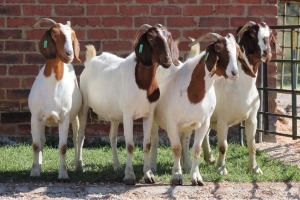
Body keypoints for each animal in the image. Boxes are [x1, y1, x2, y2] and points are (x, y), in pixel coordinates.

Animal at [28, 17, 81, 180]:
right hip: (42, 122)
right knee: (42, 141)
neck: (53, 84)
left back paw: (78, 165)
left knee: (77, 138)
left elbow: (63, 147)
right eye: (55, 34)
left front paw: (63, 174)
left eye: (73, 35)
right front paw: (34, 171)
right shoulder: (35, 117)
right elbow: (36, 145)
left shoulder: (64, 118)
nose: (69, 54)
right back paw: (39, 164)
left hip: (75, 117)